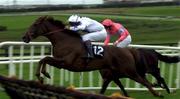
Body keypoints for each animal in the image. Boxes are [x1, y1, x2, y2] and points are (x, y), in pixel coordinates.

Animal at [21, 15, 165, 97]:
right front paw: (41, 76)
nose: (24, 37)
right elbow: (43, 59)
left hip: (129, 71)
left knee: (144, 81)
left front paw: (43, 74)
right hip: (117, 72)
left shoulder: (65, 62)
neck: (64, 41)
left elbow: (45, 59)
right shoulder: (61, 62)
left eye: (35, 24)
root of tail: (128, 51)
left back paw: (158, 93)